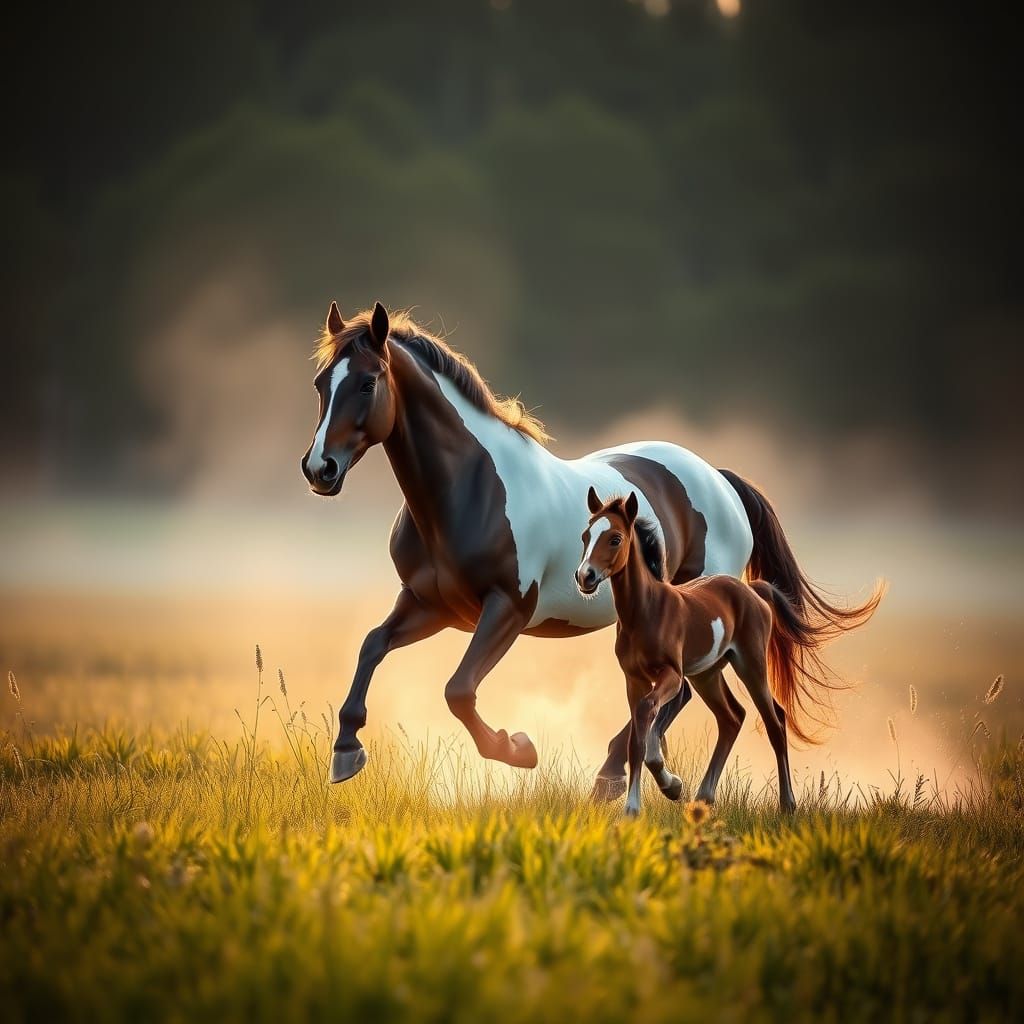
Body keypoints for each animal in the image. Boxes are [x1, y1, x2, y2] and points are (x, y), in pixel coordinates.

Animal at [576, 488, 827, 815]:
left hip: (751, 665)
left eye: (615, 538)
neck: (646, 611)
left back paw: (787, 805)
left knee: (774, 721)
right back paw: (703, 797)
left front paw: (640, 803)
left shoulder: (672, 674)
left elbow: (646, 715)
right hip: (707, 675)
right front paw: (666, 789)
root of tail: (753, 591)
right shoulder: (634, 679)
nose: (585, 577)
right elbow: (637, 735)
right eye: (585, 536)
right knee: (733, 717)